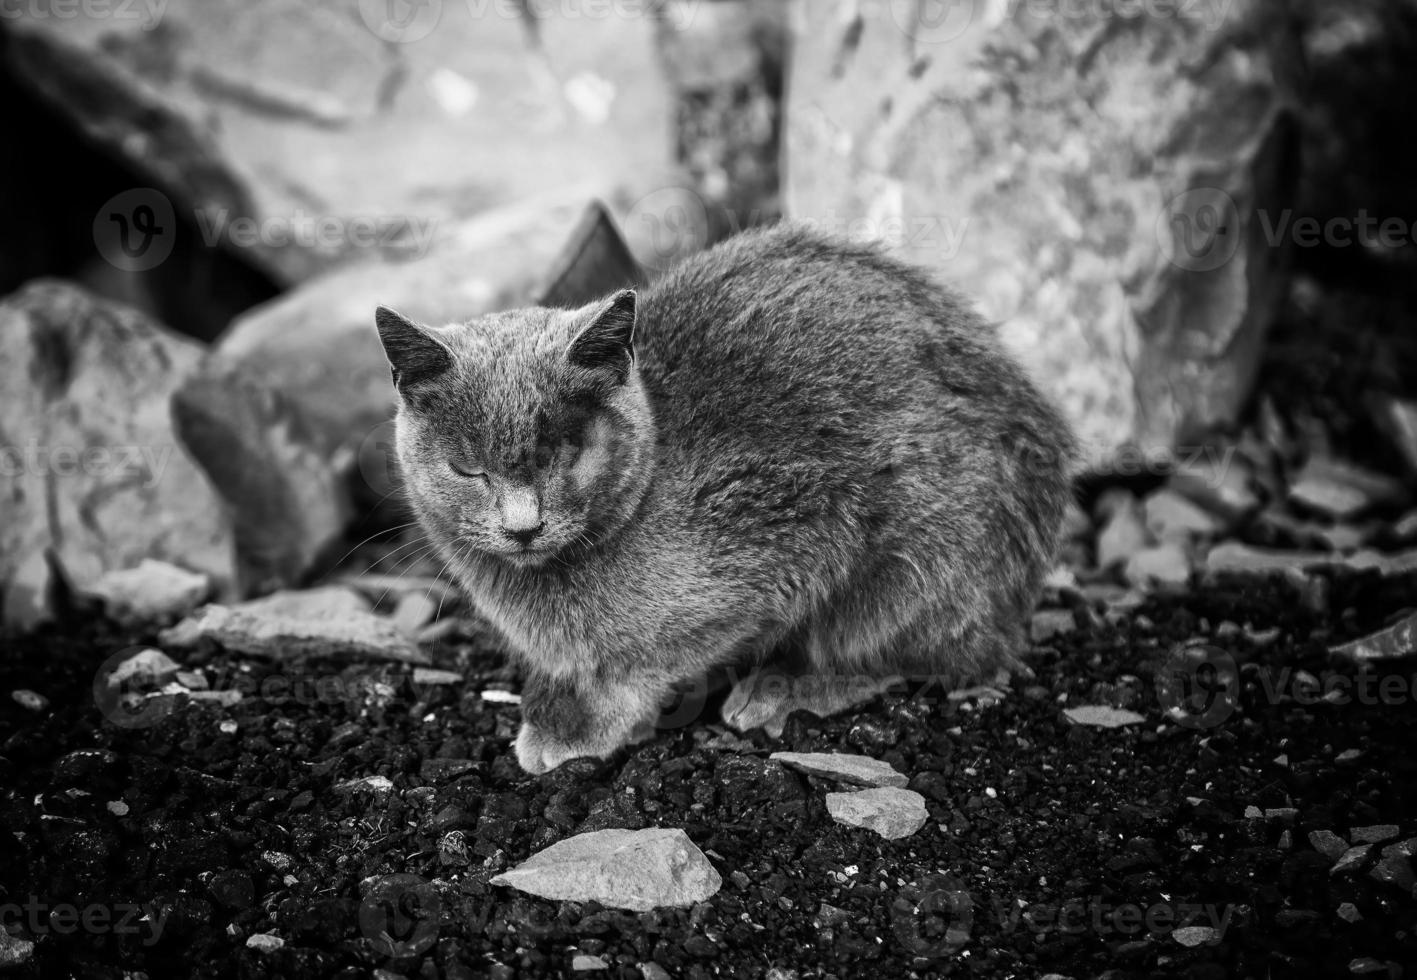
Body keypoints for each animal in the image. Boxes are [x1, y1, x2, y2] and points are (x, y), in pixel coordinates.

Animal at [376, 223, 1071, 776]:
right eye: (469, 469)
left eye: (561, 455)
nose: (523, 526)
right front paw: (554, 701)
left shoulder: (794, 522)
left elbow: (650, 658)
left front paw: (587, 724)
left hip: (922, 552)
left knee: (925, 652)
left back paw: (783, 686)